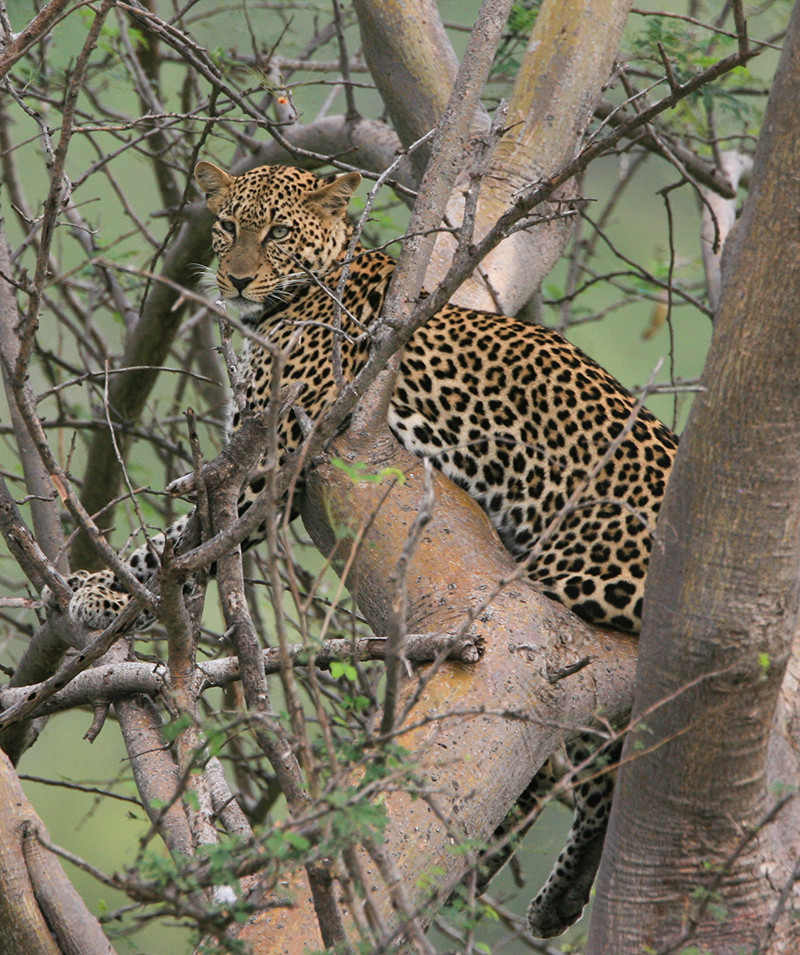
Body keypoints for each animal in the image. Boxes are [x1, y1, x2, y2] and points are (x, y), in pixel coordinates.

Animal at [53, 160, 678, 938]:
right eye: (227, 225)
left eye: (277, 232)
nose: (234, 279)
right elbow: (180, 540)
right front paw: (105, 588)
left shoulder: (277, 462)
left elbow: (185, 538)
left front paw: (109, 591)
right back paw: (558, 888)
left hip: (576, 580)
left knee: (583, 749)